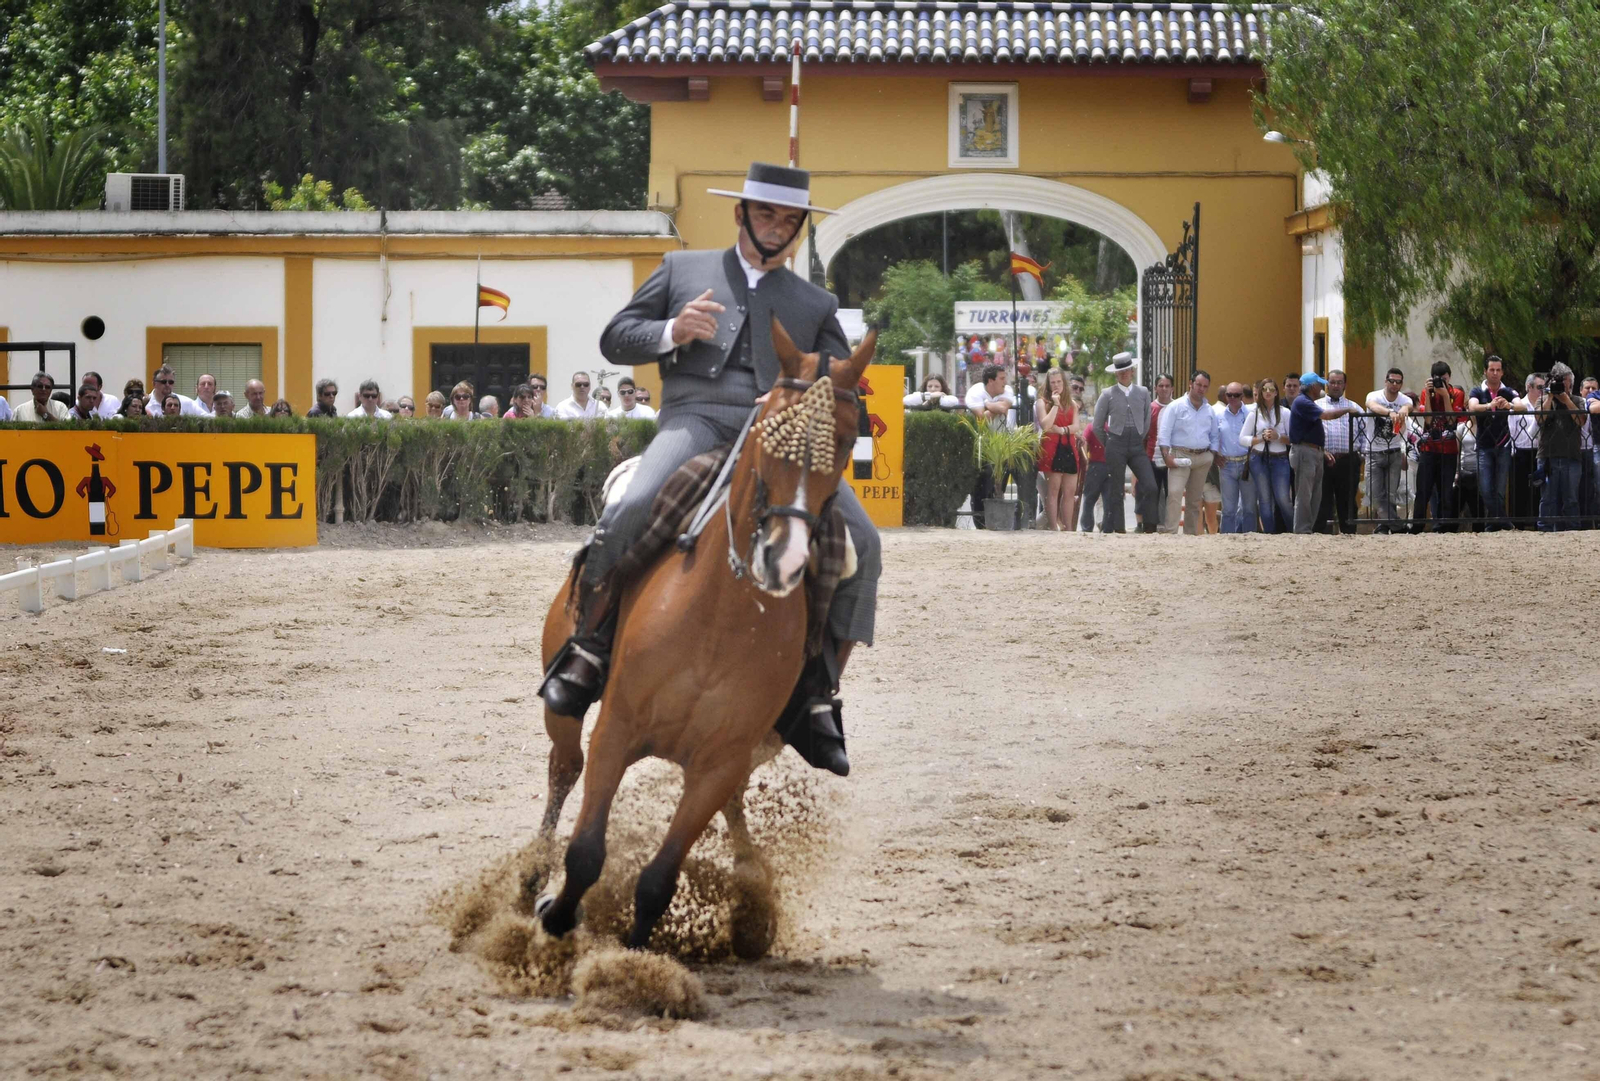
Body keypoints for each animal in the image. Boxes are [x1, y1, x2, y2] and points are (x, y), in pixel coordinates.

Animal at [527, 316, 876, 954]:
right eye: (767, 432)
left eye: (843, 442)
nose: (785, 558)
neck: (719, 619)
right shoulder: (616, 731)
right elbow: (586, 852)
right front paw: (556, 915)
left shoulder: (721, 762)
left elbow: (658, 880)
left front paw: (634, 959)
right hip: (564, 706)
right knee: (564, 766)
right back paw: (530, 877)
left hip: (754, 750)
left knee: (732, 809)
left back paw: (752, 893)